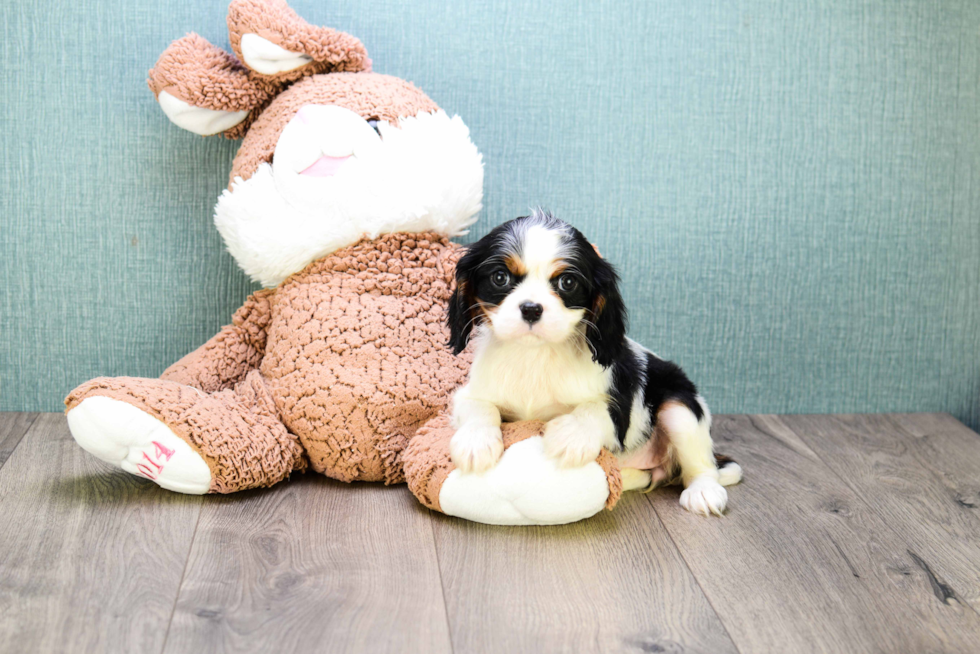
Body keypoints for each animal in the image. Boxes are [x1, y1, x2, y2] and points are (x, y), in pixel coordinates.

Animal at [446, 210, 744, 516]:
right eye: (500, 277)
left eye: (567, 283)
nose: (531, 309)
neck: (535, 354)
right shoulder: (471, 393)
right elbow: (479, 408)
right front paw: (475, 442)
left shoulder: (618, 406)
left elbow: (594, 409)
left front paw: (571, 436)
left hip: (680, 407)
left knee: (701, 464)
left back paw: (704, 491)